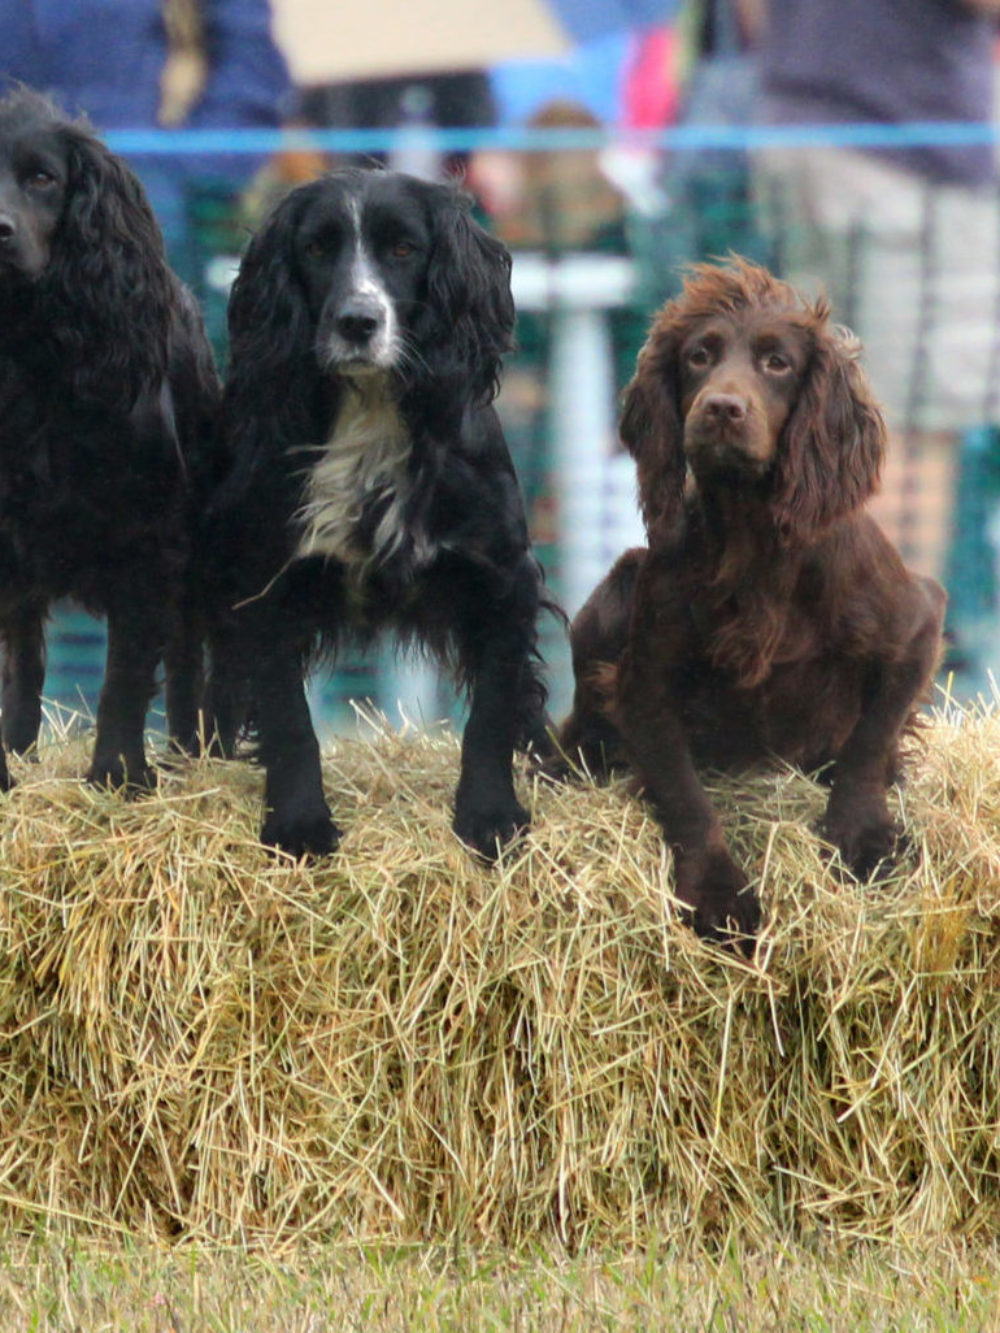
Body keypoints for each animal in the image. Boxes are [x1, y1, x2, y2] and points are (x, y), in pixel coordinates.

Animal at [0, 91, 218, 789]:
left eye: (43, 178)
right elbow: (22, 666)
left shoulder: (146, 544)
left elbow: (123, 677)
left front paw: (118, 775)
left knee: (188, 660)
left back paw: (191, 751)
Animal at [208, 166, 557, 858]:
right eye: (317, 248)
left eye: (403, 249)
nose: (357, 321)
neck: (370, 412)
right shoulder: (267, 585)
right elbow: (289, 717)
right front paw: (299, 824)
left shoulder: (504, 576)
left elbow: (492, 709)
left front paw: (490, 816)